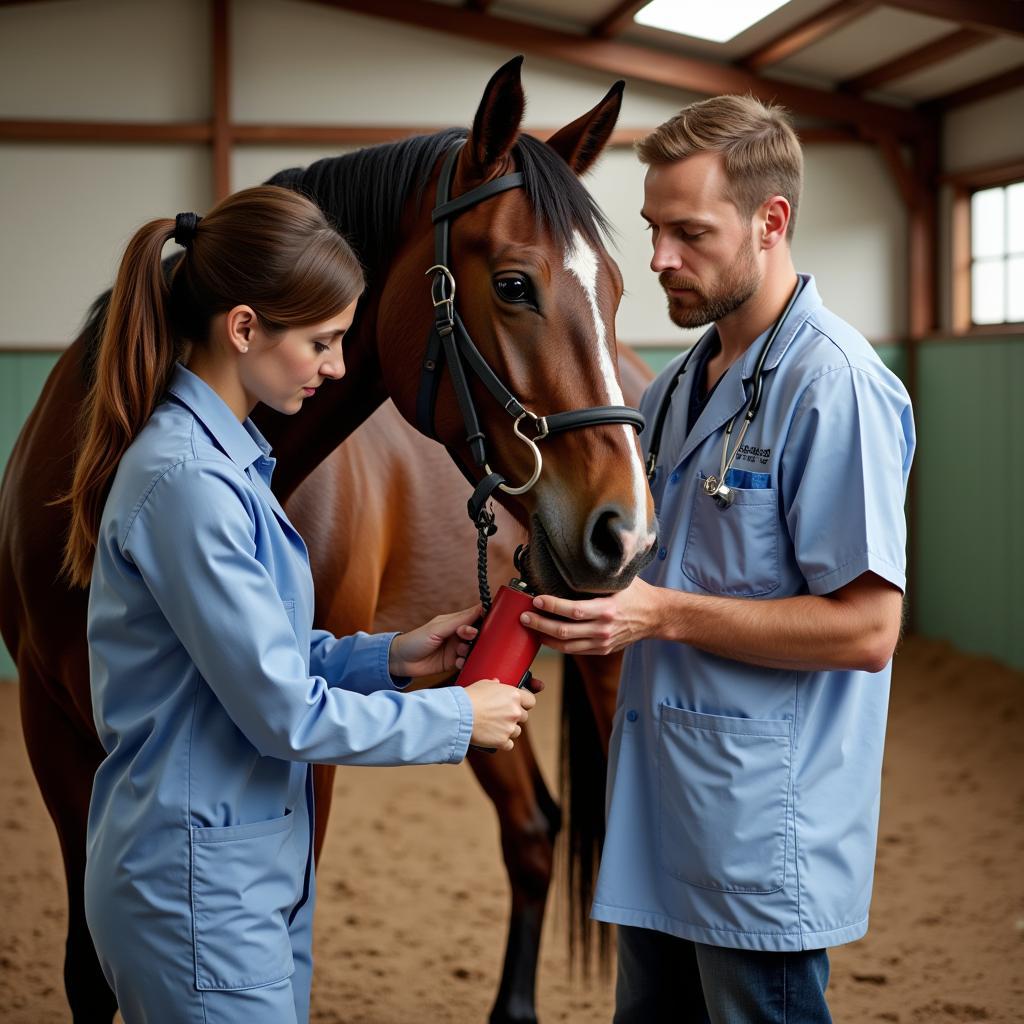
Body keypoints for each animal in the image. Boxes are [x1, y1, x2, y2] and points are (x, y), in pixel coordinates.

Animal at [0, 58, 655, 1024]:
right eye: (513, 285)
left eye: (613, 289)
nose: (626, 530)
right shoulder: (53, 732)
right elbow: (90, 967)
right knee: (533, 831)